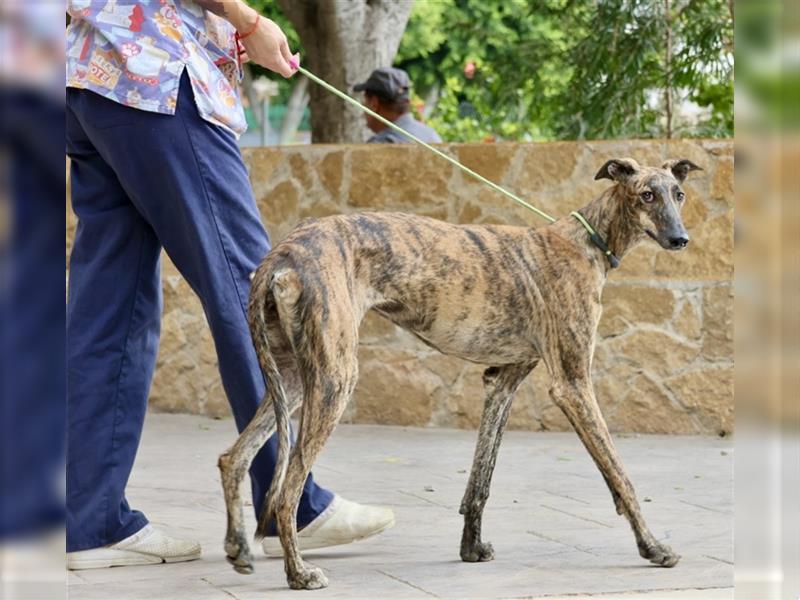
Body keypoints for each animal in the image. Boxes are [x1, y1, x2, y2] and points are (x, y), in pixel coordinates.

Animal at [217, 157, 700, 588]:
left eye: (678, 194)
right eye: (646, 194)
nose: (680, 239)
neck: (589, 240)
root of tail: (282, 253)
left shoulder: (502, 381)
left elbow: (480, 480)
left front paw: (471, 548)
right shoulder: (573, 385)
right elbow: (620, 474)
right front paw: (654, 547)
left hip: (294, 377)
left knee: (233, 457)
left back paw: (239, 548)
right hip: (334, 379)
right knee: (288, 485)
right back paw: (299, 573)